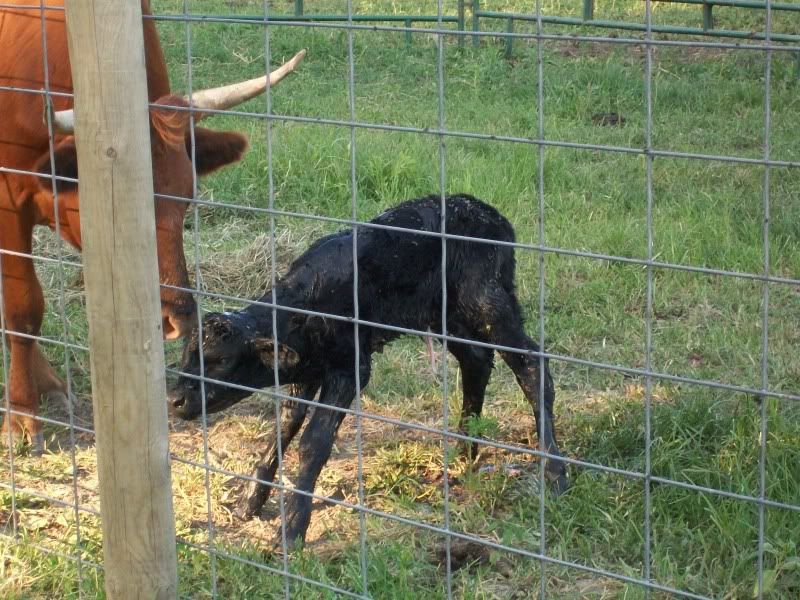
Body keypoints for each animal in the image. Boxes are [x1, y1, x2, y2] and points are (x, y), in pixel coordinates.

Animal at [0, 0, 305, 449]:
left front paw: (43, 385)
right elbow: (23, 308)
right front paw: (22, 413)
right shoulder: (8, 205)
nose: (175, 317)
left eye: (186, 199)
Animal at [169, 194, 569, 549]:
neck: (304, 308)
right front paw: (249, 503)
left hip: (488, 301)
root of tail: (491, 215)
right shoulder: (308, 370)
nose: (175, 400)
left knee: (531, 365)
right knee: (476, 359)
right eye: (187, 354)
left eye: (221, 360)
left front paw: (291, 529)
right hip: (447, 314)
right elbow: (284, 428)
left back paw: (555, 474)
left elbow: (314, 441)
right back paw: (463, 454)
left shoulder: (351, 367)